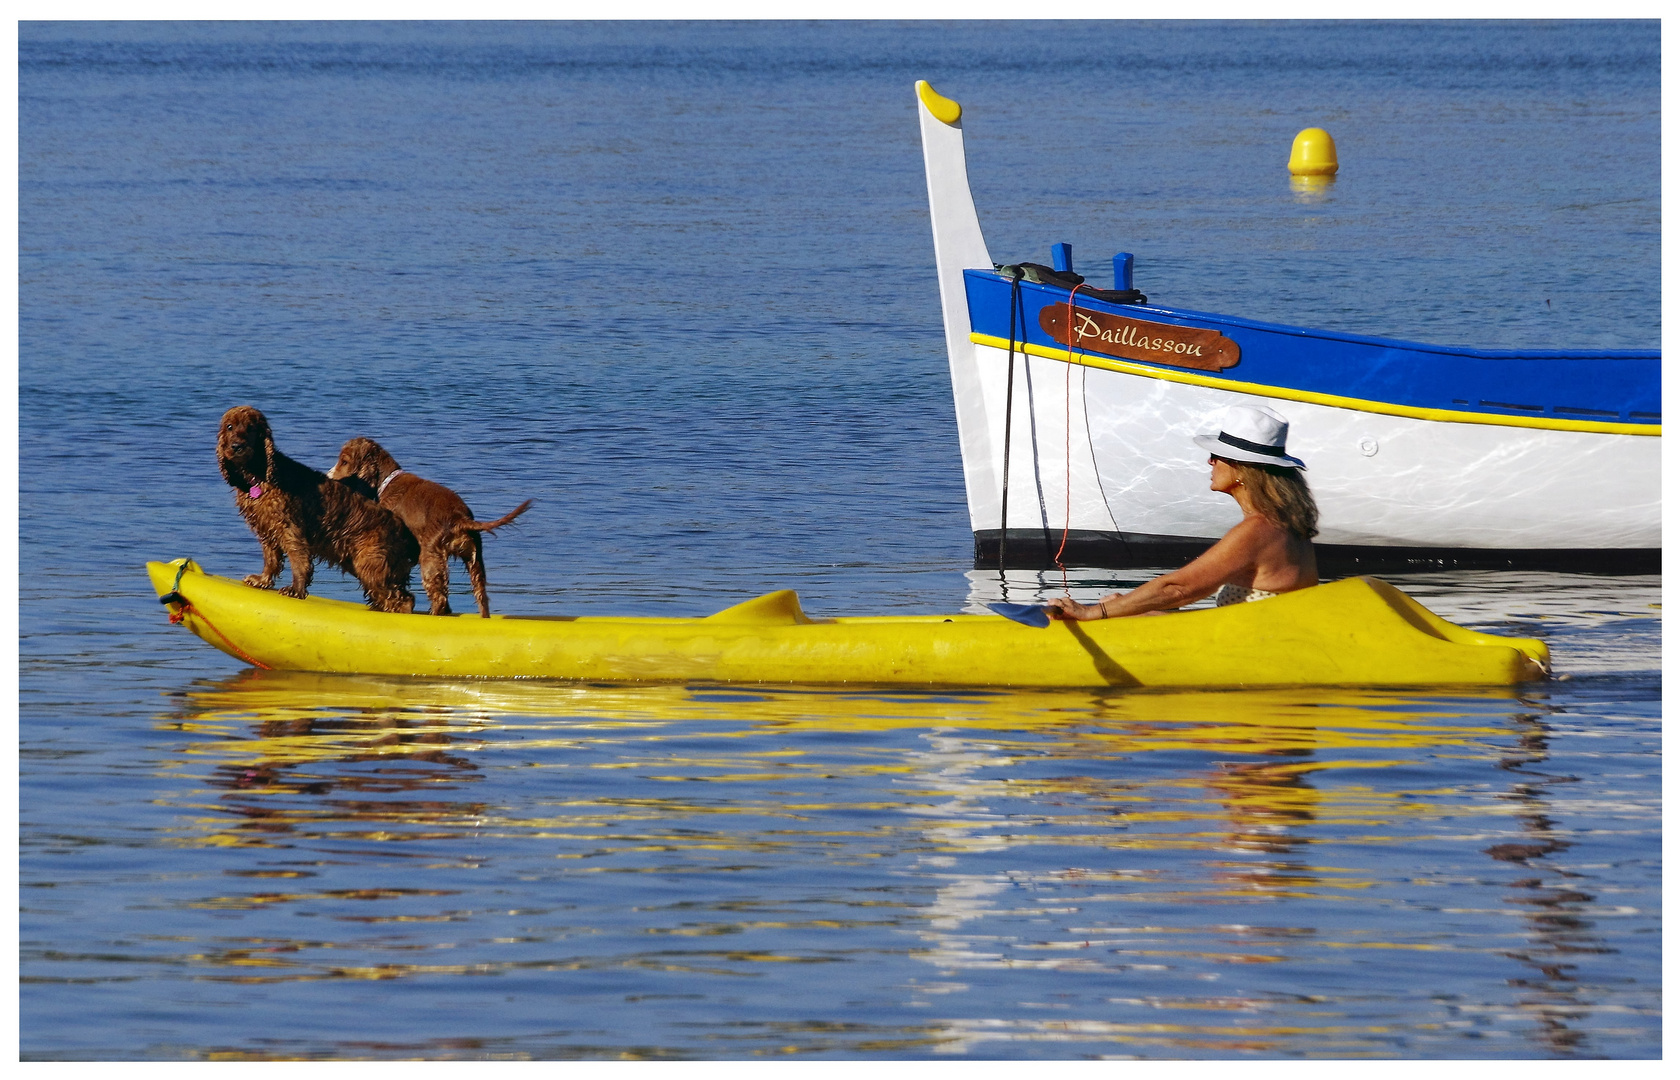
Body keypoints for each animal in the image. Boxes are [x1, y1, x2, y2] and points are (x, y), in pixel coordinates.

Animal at [216, 406, 420, 611]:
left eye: (250, 428)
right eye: (230, 426)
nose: (236, 446)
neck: (260, 476)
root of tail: (405, 533)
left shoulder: (290, 527)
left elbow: (298, 559)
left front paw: (295, 589)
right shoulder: (266, 528)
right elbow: (271, 558)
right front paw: (262, 580)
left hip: (370, 564)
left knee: (405, 600)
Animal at [327, 433, 530, 618]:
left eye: (344, 461)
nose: (329, 477)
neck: (387, 481)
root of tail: (459, 518)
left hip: (430, 556)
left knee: (440, 598)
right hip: (474, 560)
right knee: (481, 597)